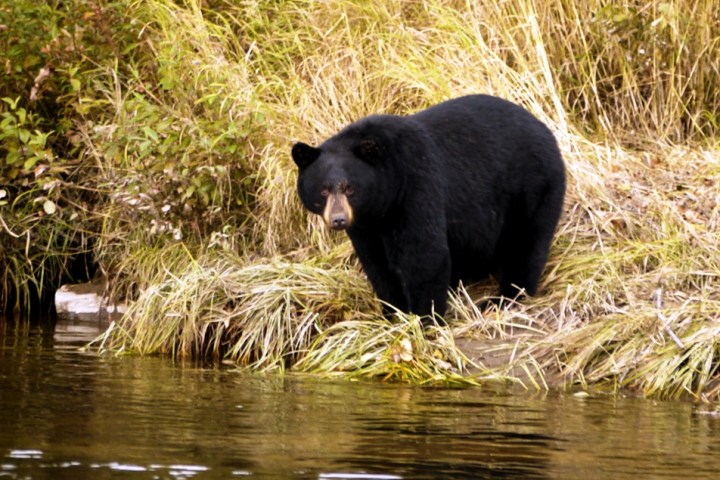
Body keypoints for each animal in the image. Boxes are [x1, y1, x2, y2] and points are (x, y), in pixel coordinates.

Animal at [292, 94, 566, 324]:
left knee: (525, 244)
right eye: (323, 190)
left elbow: (424, 256)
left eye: (350, 188)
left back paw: (503, 298)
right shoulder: (365, 224)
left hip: (532, 188)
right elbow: (377, 263)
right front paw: (393, 313)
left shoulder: (414, 189)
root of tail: (547, 131)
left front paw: (425, 320)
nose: (338, 219)